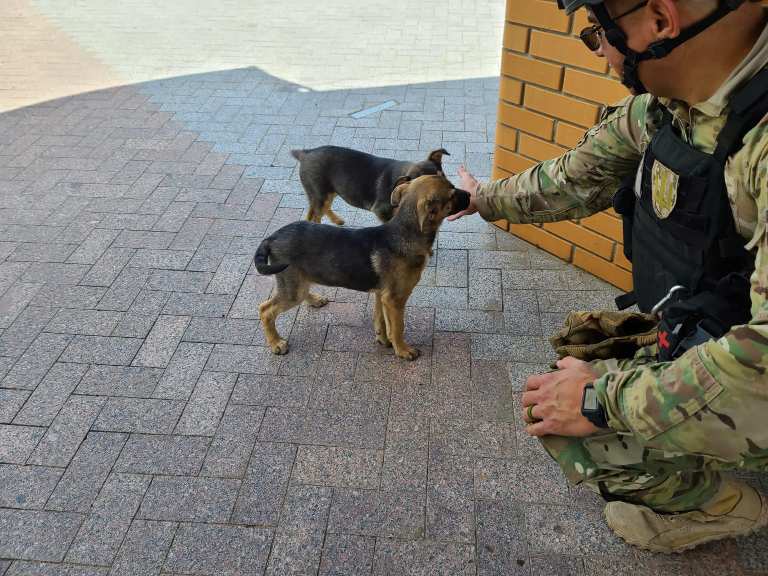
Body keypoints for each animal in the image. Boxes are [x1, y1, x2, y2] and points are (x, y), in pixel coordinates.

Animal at [254, 173, 468, 360]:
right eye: (452, 194)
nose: (470, 194)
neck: (403, 232)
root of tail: (271, 238)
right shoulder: (395, 299)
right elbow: (398, 327)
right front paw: (403, 350)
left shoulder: (382, 294)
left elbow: (381, 320)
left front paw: (384, 340)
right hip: (291, 286)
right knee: (265, 310)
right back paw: (276, 343)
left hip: (298, 280)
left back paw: (314, 300)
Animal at [290, 145, 448, 224]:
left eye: (443, 176)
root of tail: (305, 154)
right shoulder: (381, 211)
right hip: (319, 192)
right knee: (315, 215)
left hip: (329, 191)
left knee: (319, 210)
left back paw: (338, 221)